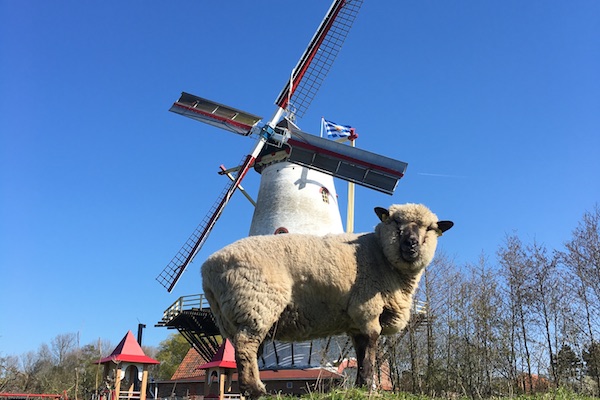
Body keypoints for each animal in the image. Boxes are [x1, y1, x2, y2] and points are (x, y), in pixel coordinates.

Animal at [199, 203, 452, 396]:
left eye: (430, 228)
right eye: (396, 222)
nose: (411, 244)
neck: (381, 255)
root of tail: (207, 269)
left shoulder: (355, 321)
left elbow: (361, 352)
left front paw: (360, 385)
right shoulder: (367, 309)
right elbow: (371, 347)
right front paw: (368, 387)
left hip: (232, 315)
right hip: (256, 304)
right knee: (246, 347)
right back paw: (256, 390)